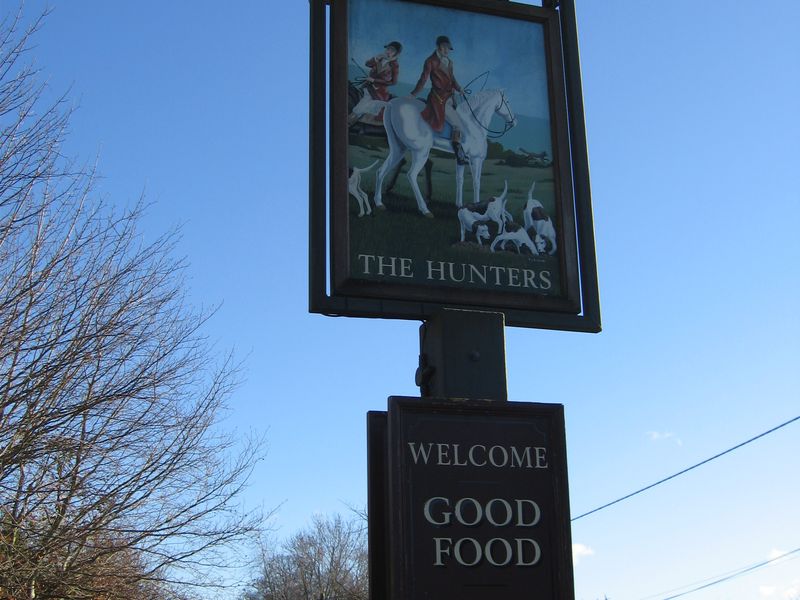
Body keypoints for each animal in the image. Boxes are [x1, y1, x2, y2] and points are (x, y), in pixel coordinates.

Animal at [374, 90, 516, 217]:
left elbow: (459, 180)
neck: (474, 123)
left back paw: (379, 203)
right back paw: (425, 210)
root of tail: (392, 104)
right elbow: (476, 182)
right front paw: (478, 206)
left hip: (398, 148)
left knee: (381, 170)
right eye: (508, 101)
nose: (514, 122)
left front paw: (459, 205)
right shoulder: (476, 159)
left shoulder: (460, 159)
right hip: (421, 152)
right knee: (411, 175)